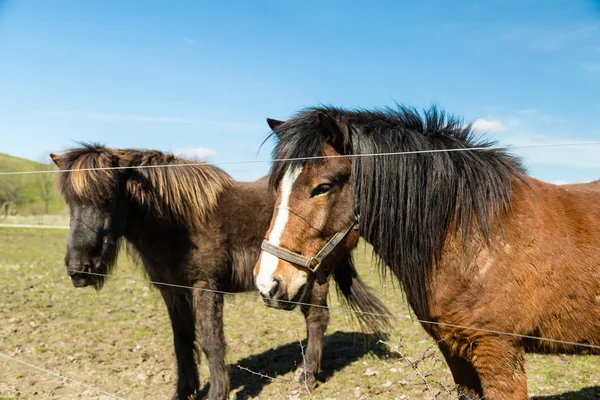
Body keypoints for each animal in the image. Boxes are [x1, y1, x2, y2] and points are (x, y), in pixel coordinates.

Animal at [50, 144, 390, 400]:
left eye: (107, 198)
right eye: (70, 202)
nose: (78, 269)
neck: (177, 221)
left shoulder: (206, 287)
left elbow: (211, 341)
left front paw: (217, 393)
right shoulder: (172, 290)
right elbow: (182, 340)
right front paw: (183, 392)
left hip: (313, 279)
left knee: (317, 319)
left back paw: (306, 377)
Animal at [253, 106, 600, 400]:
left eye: (323, 186)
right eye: (277, 187)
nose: (268, 283)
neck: (473, 236)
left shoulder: (500, 352)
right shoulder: (455, 352)